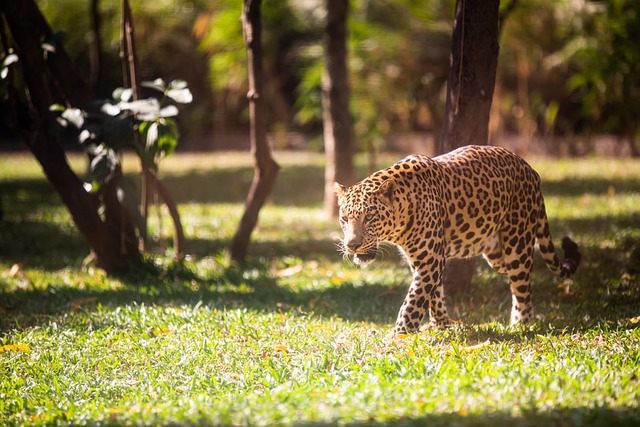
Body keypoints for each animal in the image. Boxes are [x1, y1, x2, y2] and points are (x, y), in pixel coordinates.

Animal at [336, 145, 580, 336]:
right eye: (344, 219)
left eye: (369, 218)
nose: (352, 245)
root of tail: (531, 169)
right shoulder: (423, 261)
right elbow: (433, 294)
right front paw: (440, 324)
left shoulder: (429, 261)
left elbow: (413, 299)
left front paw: (399, 335)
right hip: (496, 255)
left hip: (517, 246)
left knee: (522, 286)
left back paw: (521, 324)